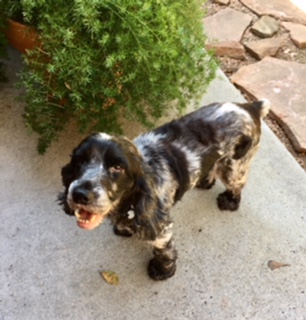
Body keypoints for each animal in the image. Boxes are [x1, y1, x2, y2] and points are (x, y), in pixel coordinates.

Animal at [59, 99, 270, 280]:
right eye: (80, 161)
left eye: (117, 167)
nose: (79, 194)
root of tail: (250, 106)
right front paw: (123, 228)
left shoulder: (161, 227)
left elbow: (164, 250)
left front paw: (161, 271)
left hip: (235, 167)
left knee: (237, 184)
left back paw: (229, 201)